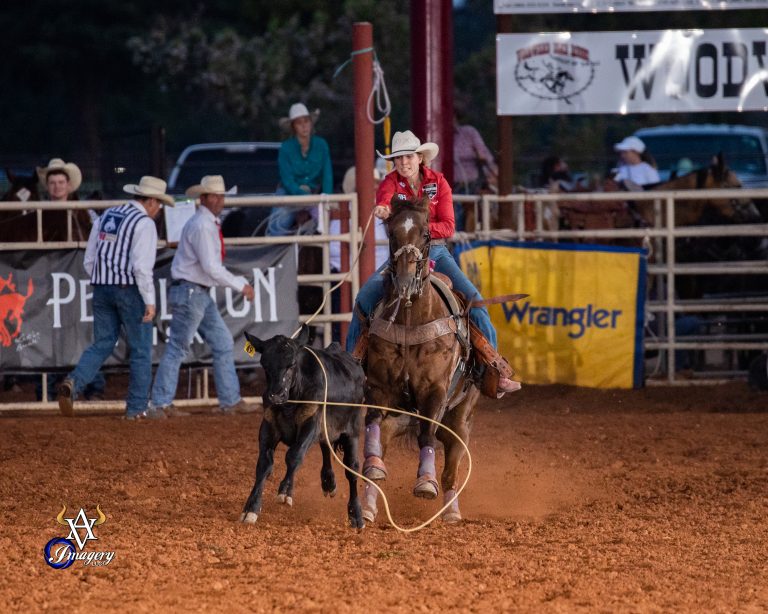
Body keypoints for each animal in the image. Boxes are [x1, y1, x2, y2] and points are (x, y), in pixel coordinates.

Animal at [240, 325, 366, 529]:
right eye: (264, 364)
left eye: (291, 364)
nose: (275, 395)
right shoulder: (268, 428)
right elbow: (263, 465)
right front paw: (251, 508)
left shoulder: (310, 424)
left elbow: (294, 455)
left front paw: (285, 492)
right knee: (326, 446)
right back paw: (328, 482)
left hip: (352, 431)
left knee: (352, 469)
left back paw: (356, 514)